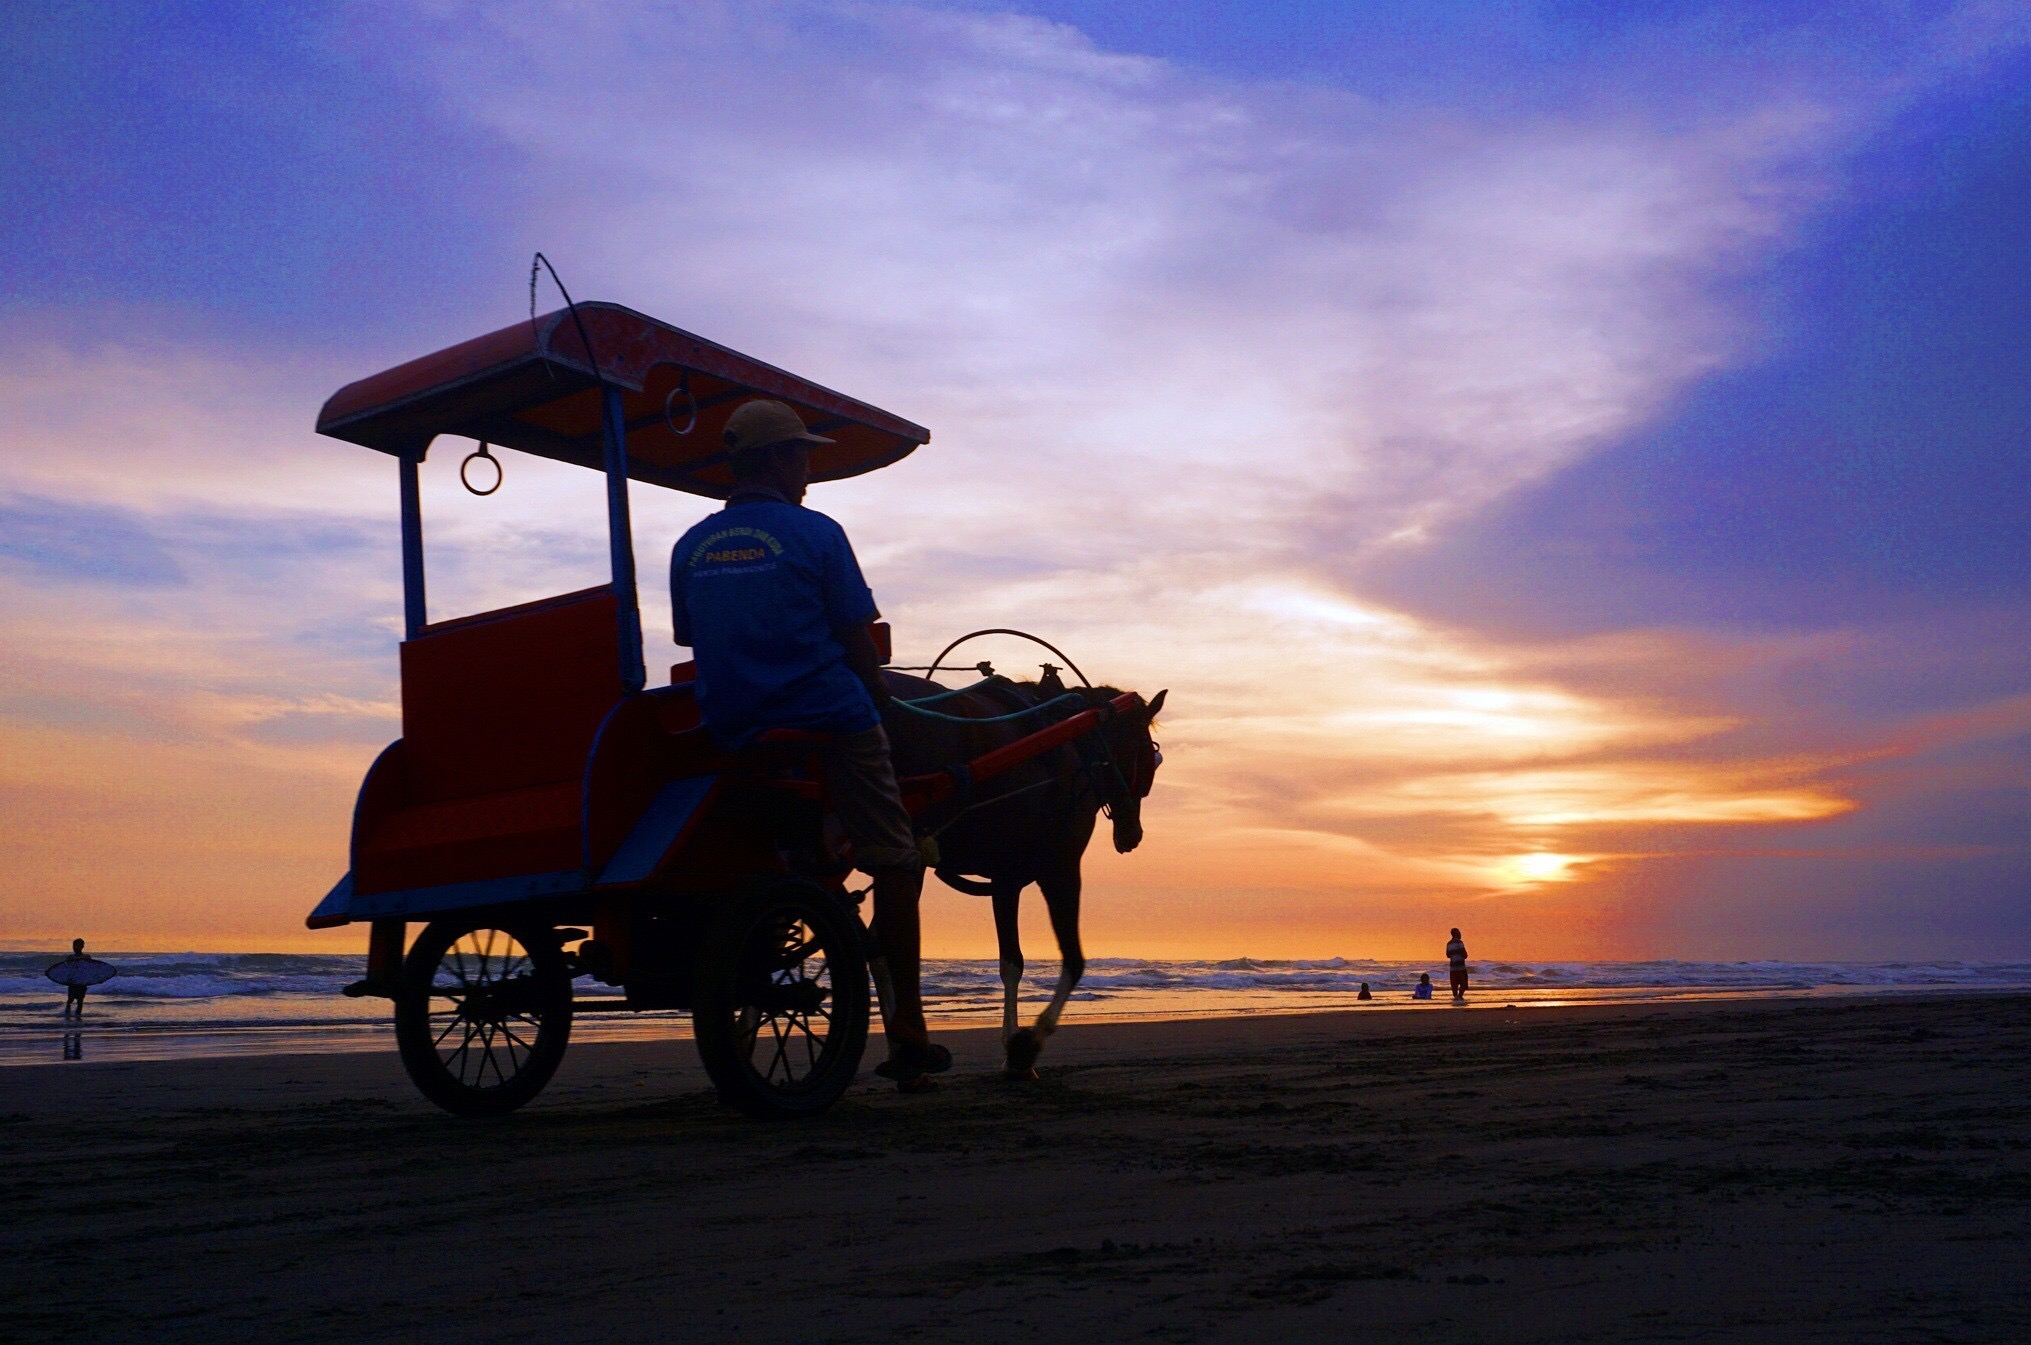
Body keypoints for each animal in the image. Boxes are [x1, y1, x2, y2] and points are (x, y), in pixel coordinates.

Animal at [881, 674, 1169, 1089]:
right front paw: (1024, 1048)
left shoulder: (1006, 879)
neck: (1071, 736)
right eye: (1147, 753)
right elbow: (1072, 959)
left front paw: (1013, 1048)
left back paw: (904, 1057)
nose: (1132, 834)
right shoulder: (1060, 867)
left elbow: (1011, 962)